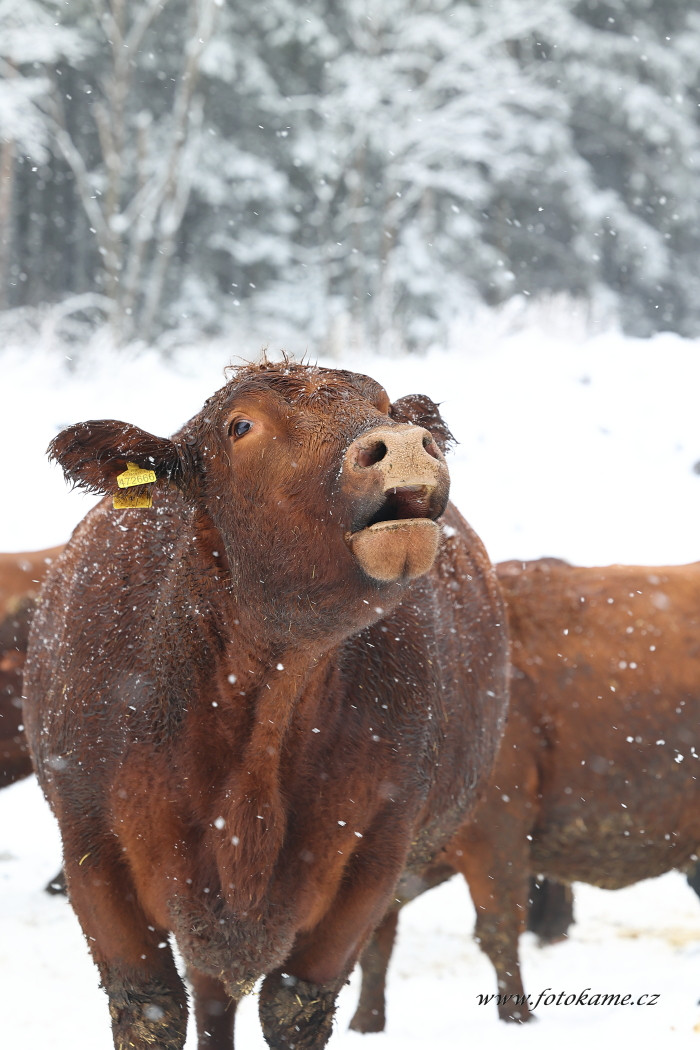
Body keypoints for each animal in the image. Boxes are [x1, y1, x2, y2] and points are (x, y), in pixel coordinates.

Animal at [23, 363, 510, 1050]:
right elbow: (150, 1010)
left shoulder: (372, 864)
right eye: (241, 426)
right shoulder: (92, 851)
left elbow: (294, 1007)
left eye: (386, 406)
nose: (405, 443)